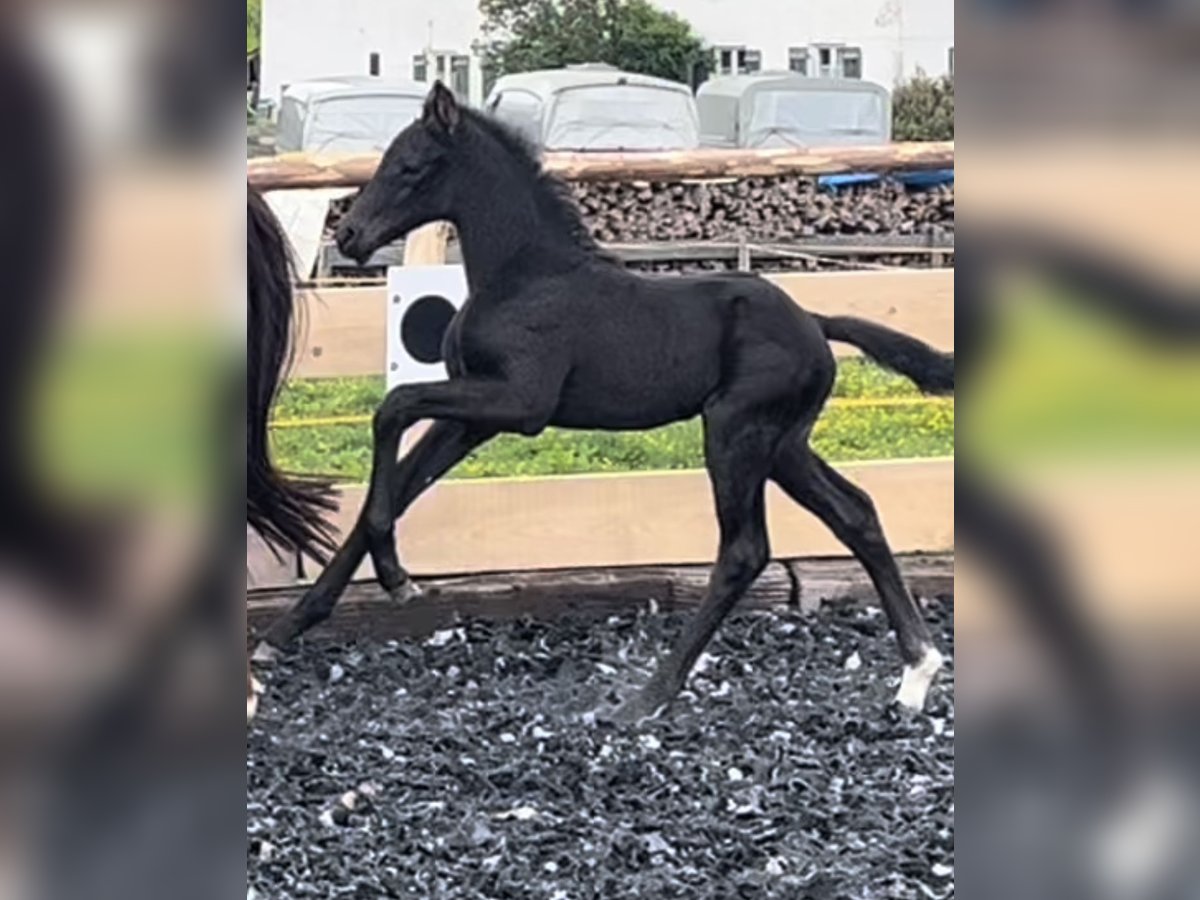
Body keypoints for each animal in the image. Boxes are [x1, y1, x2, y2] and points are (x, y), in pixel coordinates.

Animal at [258, 82, 950, 720]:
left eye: (409, 165)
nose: (351, 235)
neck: (525, 275)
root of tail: (815, 321)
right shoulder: (471, 419)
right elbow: (399, 482)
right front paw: (287, 629)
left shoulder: (518, 404)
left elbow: (393, 408)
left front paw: (397, 579)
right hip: (783, 443)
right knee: (855, 512)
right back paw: (916, 671)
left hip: (735, 431)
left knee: (745, 549)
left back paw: (650, 695)